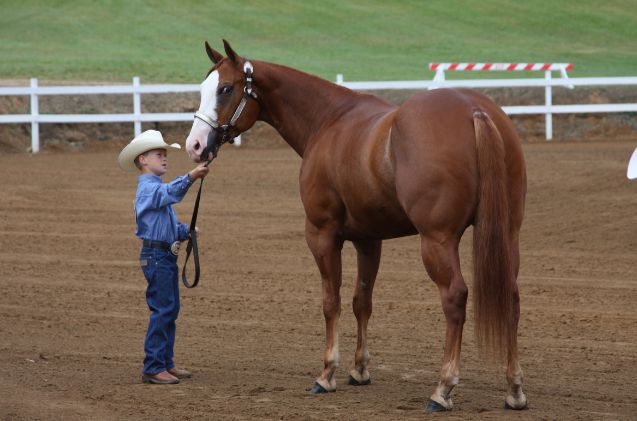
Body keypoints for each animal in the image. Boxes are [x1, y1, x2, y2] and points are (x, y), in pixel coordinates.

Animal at [184, 41, 528, 412]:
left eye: (225, 89)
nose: (195, 145)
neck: (329, 121)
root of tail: (475, 111)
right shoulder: (369, 239)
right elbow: (361, 300)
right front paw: (359, 370)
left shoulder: (321, 234)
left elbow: (330, 301)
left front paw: (327, 374)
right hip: (508, 235)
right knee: (511, 298)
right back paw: (514, 389)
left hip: (437, 241)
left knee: (455, 298)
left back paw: (442, 389)